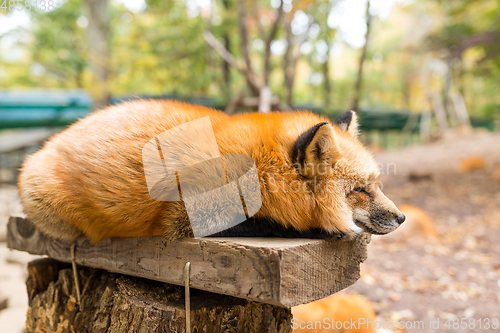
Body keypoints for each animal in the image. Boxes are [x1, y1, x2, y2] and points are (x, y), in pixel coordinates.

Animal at [17, 100, 404, 243]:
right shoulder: (185, 218)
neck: (259, 172)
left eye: (377, 185)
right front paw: (328, 228)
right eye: (360, 191)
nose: (402, 218)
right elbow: (269, 224)